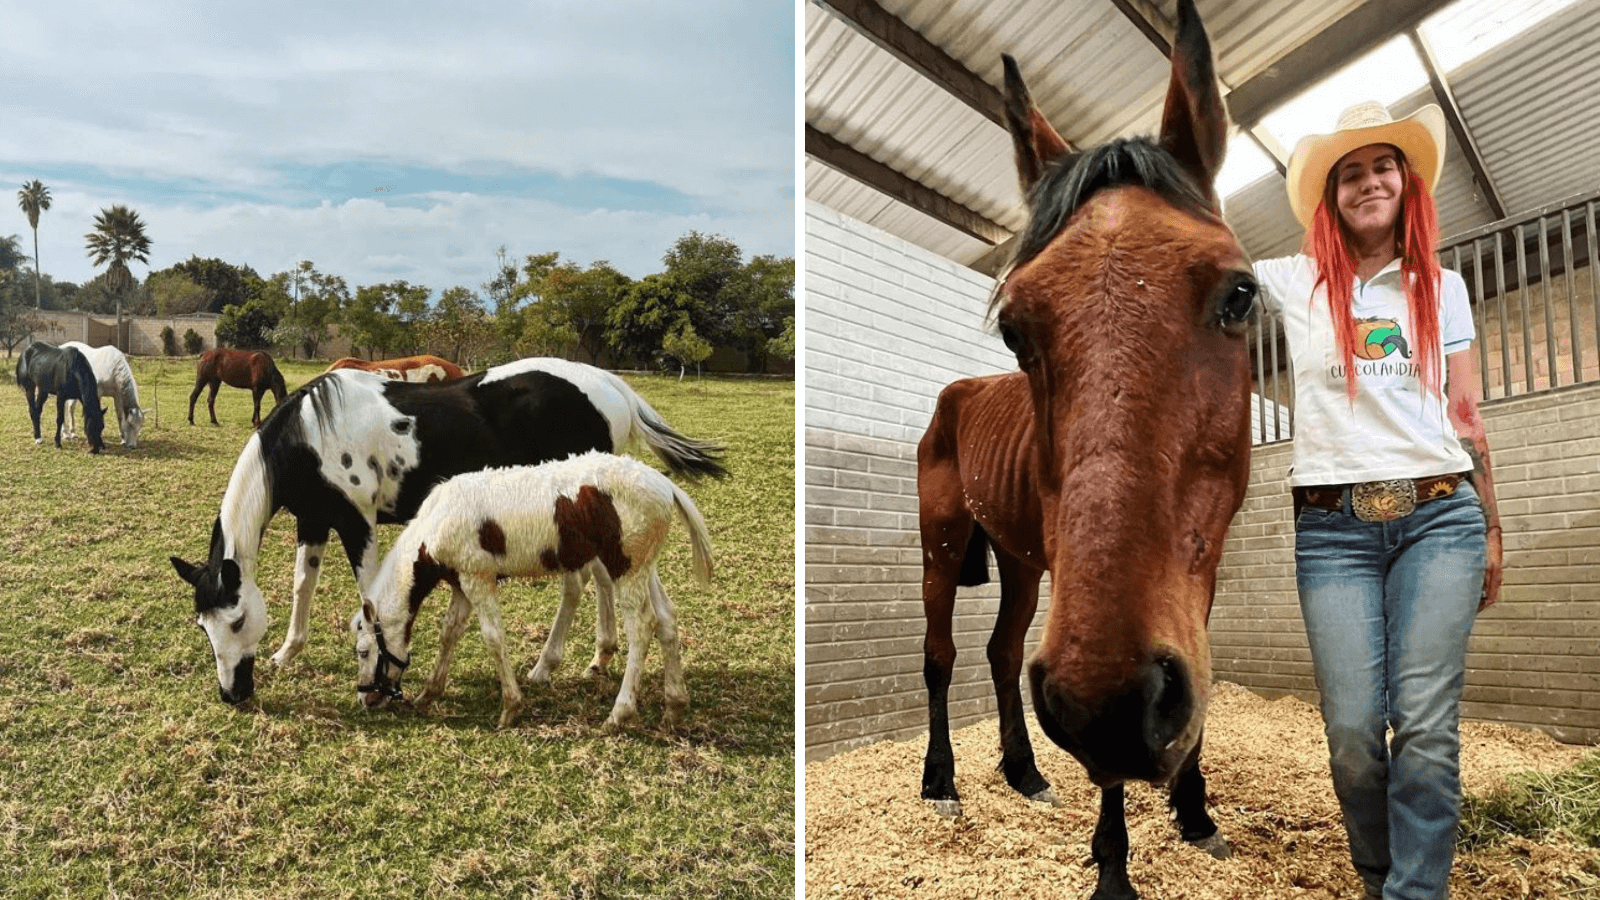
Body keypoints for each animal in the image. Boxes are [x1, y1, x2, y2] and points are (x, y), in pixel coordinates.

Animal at [360, 448, 716, 730]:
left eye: (363, 651)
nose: (367, 699)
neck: (435, 522)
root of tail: (665, 484)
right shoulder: (462, 585)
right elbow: (449, 633)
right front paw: (428, 694)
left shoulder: (478, 580)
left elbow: (493, 638)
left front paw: (511, 707)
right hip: (642, 568)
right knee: (666, 618)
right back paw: (675, 706)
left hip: (626, 570)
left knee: (642, 626)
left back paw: (620, 713)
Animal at [921, 3, 1254, 890]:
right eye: (1013, 328)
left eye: (1241, 295)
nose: (1105, 703)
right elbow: (1110, 771)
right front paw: (1113, 869)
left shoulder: (1196, 573)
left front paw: (1195, 811)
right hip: (943, 547)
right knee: (941, 654)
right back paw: (941, 781)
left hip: (1022, 563)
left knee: (1002, 650)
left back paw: (1024, 771)